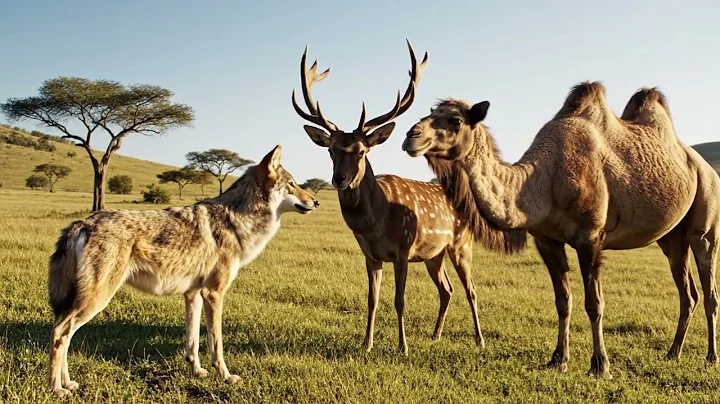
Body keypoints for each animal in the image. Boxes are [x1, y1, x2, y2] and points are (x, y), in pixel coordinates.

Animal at [47, 145, 319, 398]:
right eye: (292, 184)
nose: (316, 201)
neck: (236, 221)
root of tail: (82, 223)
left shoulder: (194, 293)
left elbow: (193, 342)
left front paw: (196, 372)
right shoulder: (214, 293)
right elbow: (216, 344)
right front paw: (226, 376)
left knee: (65, 334)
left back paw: (68, 383)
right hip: (96, 300)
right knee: (60, 333)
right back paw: (56, 388)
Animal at [291, 40, 486, 354]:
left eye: (361, 151)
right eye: (331, 150)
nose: (339, 179)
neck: (375, 224)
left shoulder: (403, 250)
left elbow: (399, 300)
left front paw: (402, 347)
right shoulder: (371, 255)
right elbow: (372, 300)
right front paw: (366, 344)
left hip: (461, 244)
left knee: (471, 290)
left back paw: (479, 340)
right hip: (434, 255)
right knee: (447, 289)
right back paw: (435, 335)